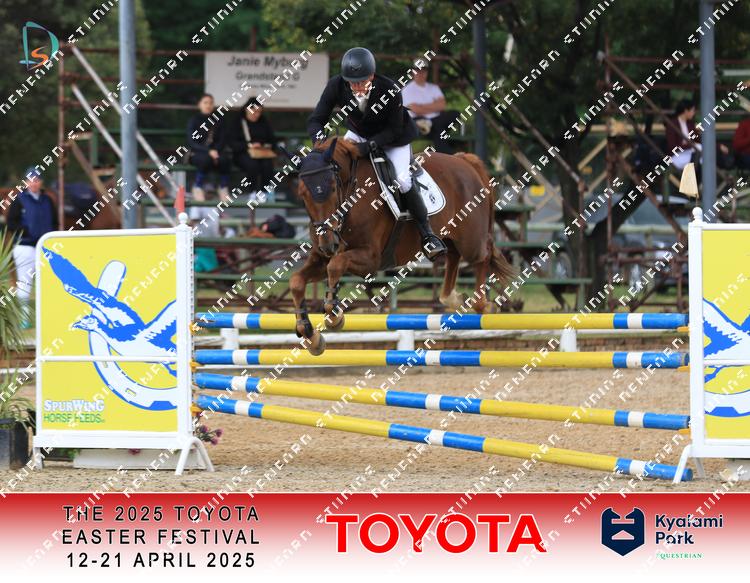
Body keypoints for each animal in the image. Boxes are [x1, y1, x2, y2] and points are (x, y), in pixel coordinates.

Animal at [290, 137, 515, 355]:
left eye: (332, 188)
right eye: (302, 193)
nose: (328, 244)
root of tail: (464, 160)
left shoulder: (371, 259)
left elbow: (335, 265)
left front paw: (334, 316)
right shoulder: (321, 258)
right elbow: (297, 281)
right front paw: (310, 335)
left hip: (470, 239)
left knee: (484, 254)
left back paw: (484, 305)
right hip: (451, 235)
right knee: (453, 256)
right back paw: (454, 298)